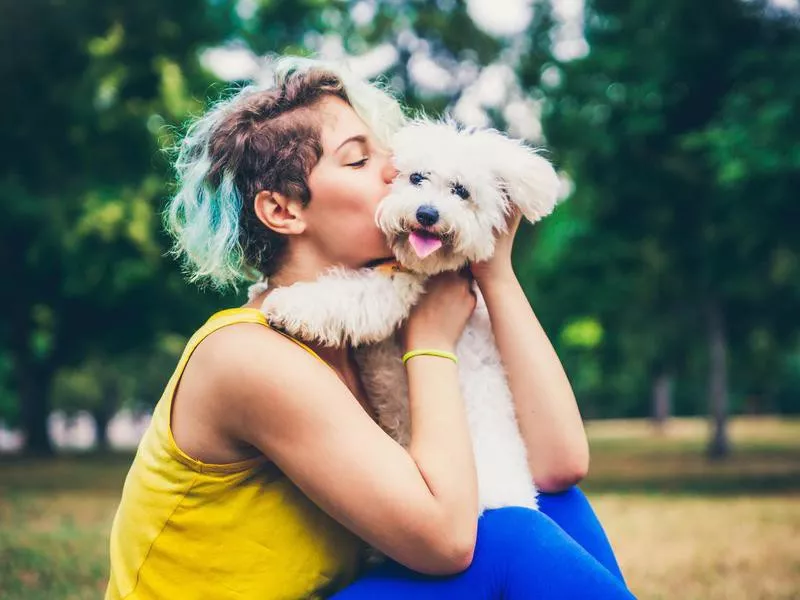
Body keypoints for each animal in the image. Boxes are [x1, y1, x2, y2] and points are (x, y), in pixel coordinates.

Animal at [260, 120, 560, 510]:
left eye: (461, 191)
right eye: (416, 178)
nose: (427, 214)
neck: (422, 267)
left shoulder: (390, 291)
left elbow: (344, 294)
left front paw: (287, 305)